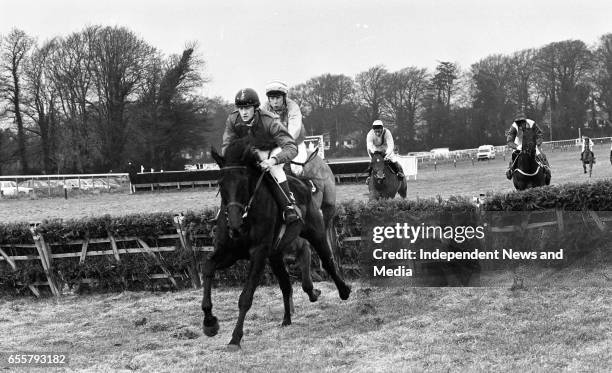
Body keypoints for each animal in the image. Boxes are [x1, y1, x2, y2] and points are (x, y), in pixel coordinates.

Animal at [203, 137, 352, 348]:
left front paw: (235, 338)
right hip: (275, 254)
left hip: (316, 230)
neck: (246, 218)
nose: (234, 225)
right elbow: (208, 266)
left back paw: (343, 290)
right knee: (286, 284)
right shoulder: (230, 252)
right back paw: (287, 318)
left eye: (243, 183)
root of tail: (301, 182)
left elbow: (246, 297)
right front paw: (209, 323)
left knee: (327, 259)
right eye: (220, 183)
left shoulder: (259, 253)